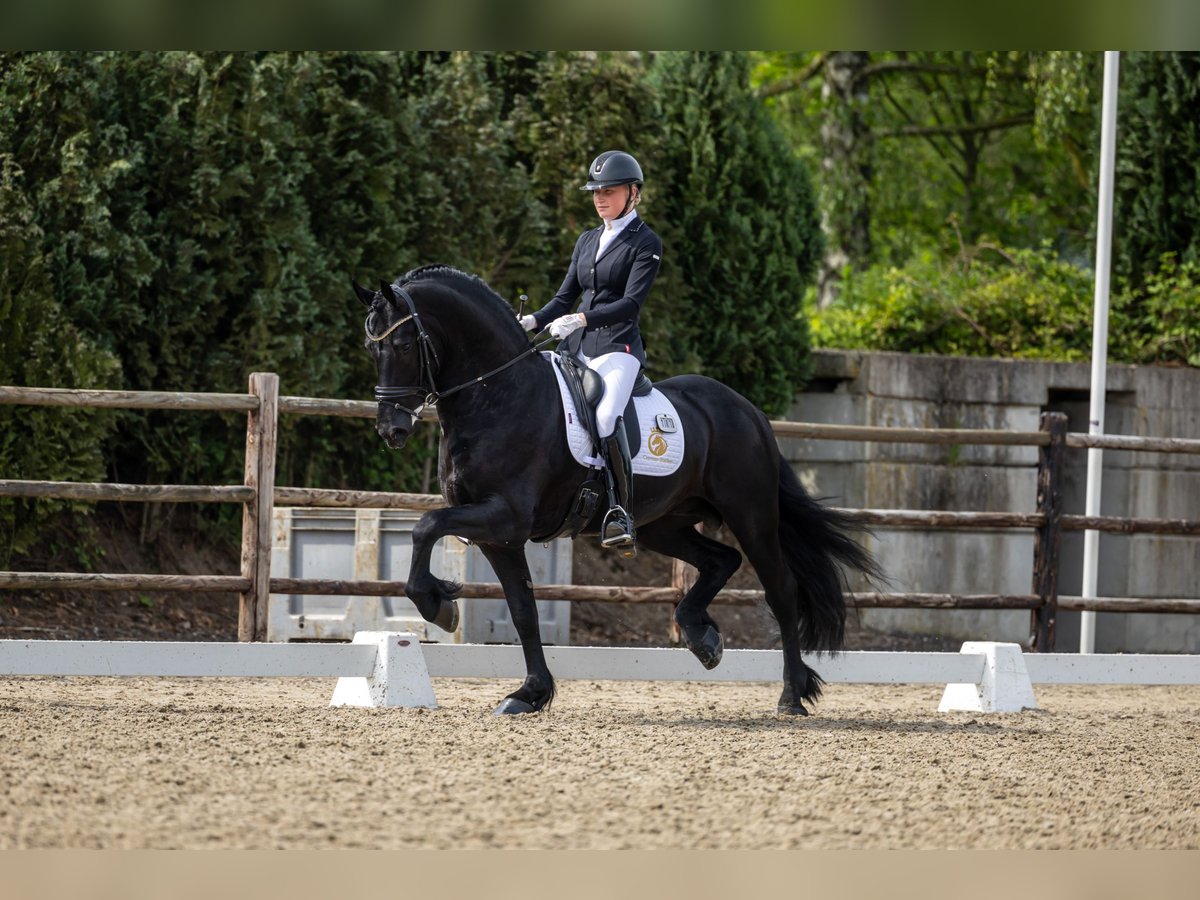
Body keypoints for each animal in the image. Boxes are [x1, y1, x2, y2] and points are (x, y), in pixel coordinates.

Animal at [350, 264, 878, 715]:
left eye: (402, 345)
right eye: (371, 349)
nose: (391, 429)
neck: (498, 395)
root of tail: (748, 411)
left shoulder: (505, 516)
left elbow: (424, 525)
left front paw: (439, 606)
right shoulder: (499, 535)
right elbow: (522, 610)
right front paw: (530, 693)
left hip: (751, 515)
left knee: (781, 590)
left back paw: (791, 695)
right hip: (664, 523)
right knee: (719, 561)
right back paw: (702, 638)